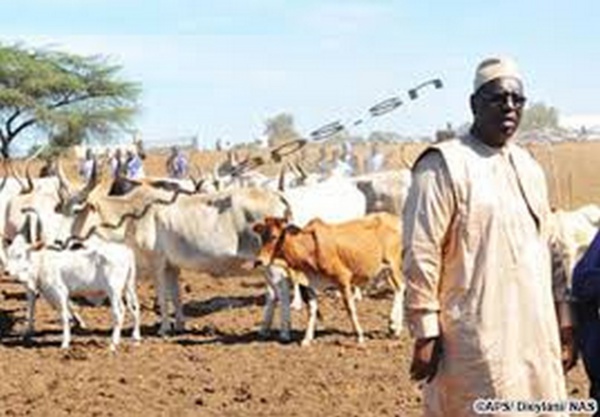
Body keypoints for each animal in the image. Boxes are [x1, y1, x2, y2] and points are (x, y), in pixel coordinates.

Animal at [3, 236, 141, 350]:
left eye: (19, 255)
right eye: (8, 254)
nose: (6, 271)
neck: (42, 264)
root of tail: (125, 250)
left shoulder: (60, 292)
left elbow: (64, 317)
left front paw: (65, 342)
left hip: (113, 290)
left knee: (119, 312)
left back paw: (113, 343)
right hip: (128, 287)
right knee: (134, 308)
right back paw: (136, 336)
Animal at [253, 211, 404, 344]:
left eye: (274, 236)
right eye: (261, 236)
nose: (259, 261)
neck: (309, 248)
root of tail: (394, 219)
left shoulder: (343, 278)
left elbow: (350, 308)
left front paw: (359, 336)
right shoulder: (309, 284)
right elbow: (312, 310)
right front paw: (307, 339)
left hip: (393, 264)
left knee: (401, 287)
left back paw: (395, 327)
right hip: (385, 270)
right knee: (397, 289)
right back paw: (394, 326)